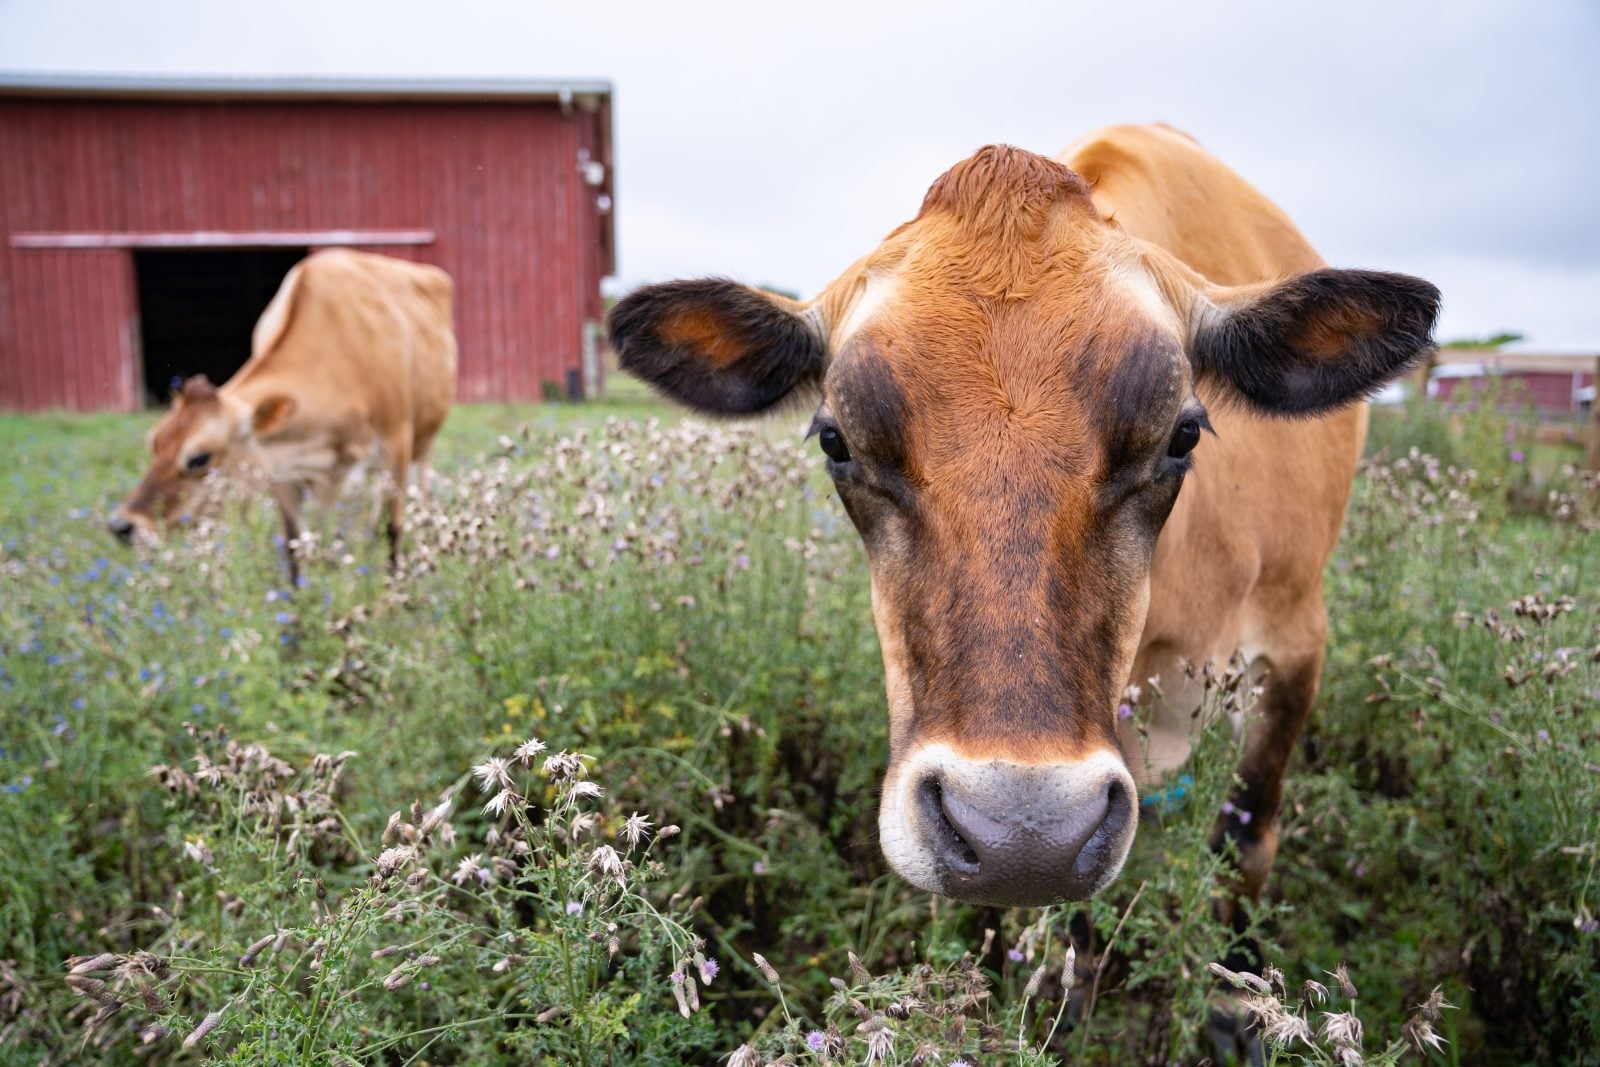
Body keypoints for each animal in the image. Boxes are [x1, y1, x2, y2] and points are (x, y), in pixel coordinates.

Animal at [108, 249, 457, 583]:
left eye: (199, 458)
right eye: (154, 443)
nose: (121, 526)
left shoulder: (395, 445)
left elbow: (393, 528)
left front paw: (395, 586)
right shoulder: (281, 466)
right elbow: (292, 544)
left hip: (424, 442)